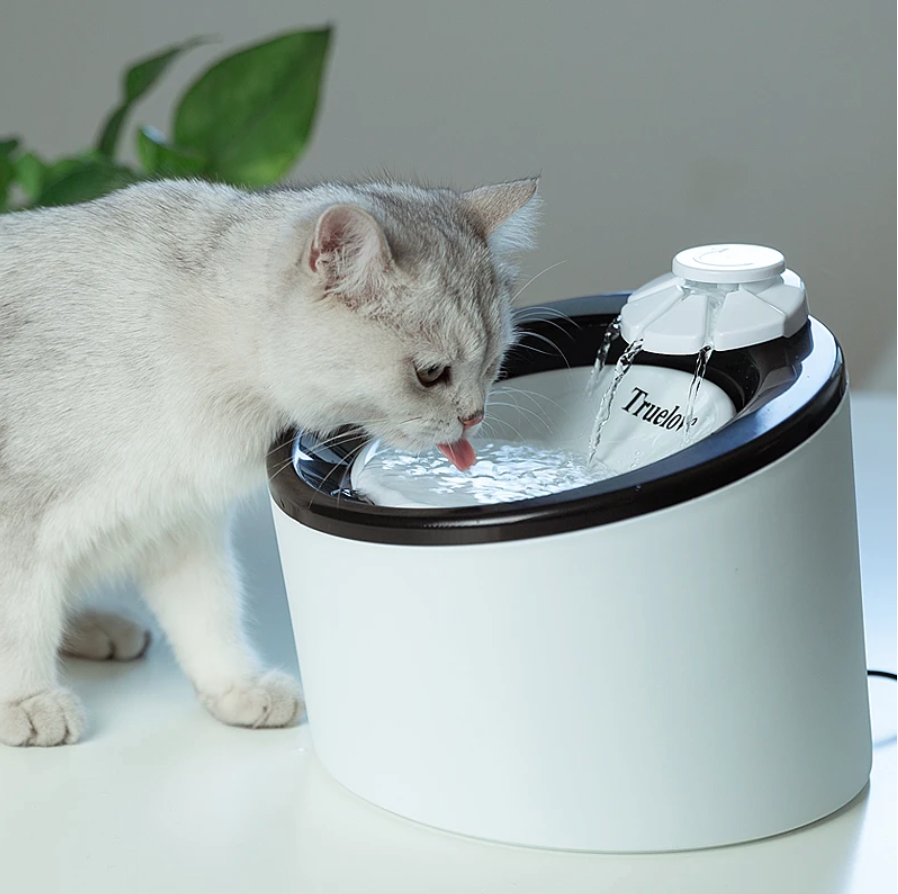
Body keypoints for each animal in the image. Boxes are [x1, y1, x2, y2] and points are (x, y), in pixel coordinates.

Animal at [0, 172, 540, 744]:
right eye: (431, 374)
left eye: (494, 362)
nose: (474, 417)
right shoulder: (19, 523)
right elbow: (19, 621)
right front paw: (26, 700)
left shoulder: (179, 524)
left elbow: (210, 613)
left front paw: (237, 688)